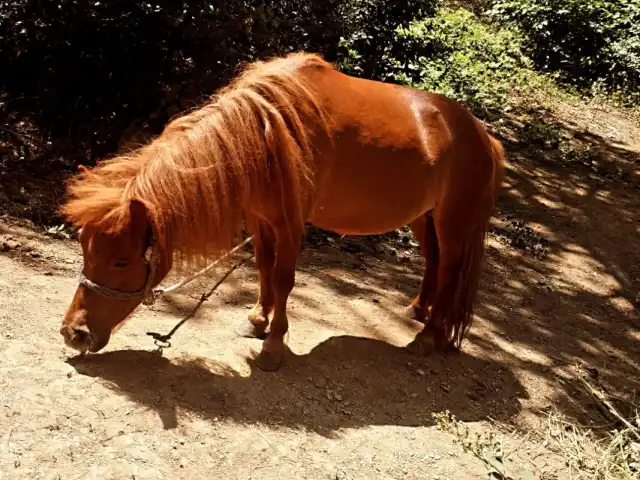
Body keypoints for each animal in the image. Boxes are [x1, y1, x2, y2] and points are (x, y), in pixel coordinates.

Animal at [62, 52, 508, 372]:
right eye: (83, 248)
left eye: (122, 261)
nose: (73, 333)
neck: (266, 131)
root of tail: (482, 136)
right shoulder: (261, 219)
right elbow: (263, 266)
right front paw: (258, 320)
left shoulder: (291, 223)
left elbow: (283, 279)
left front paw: (274, 346)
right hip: (422, 218)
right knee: (433, 261)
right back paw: (417, 310)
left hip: (453, 222)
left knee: (449, 269)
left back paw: (428, 337)